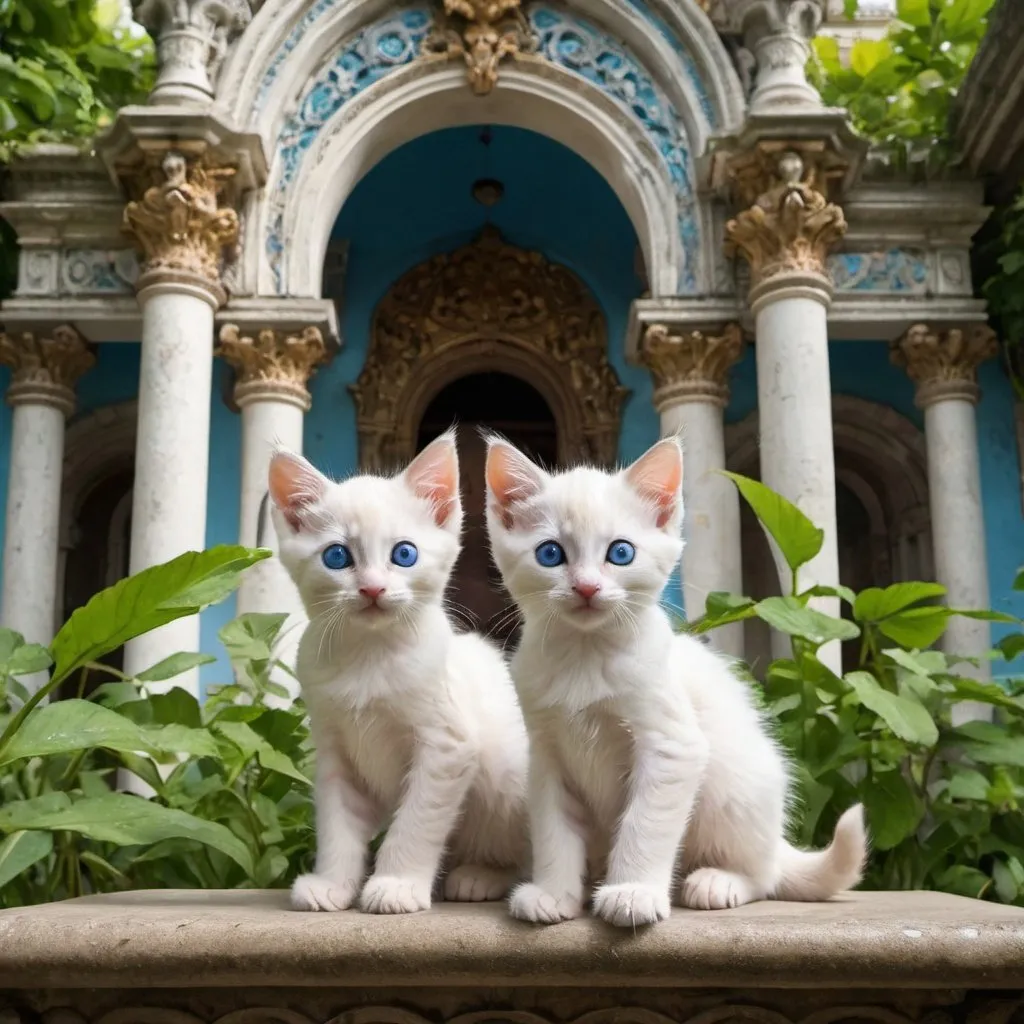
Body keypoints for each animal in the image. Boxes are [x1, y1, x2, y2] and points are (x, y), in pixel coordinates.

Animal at [270, 430, 528, 913]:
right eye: (337, 557)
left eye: (404, 554)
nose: (372, 589)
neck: (368, 659)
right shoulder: (334, 751)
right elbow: (338, 824)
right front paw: (332, 883)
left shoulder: (447, 745)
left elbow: (416, 821)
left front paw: (396, 884)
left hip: (510, 776)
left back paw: (481, 875)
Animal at [483, 438, 868, 929]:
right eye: (550, 554)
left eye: (621, 553)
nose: (586, 588)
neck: (585, 659)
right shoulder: (547, 755)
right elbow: (554, 829)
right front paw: (554, 894)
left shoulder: (672, 746)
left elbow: (644, 823)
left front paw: (632, 892)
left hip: (732, 786)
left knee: (764, 875)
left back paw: (718, 881)